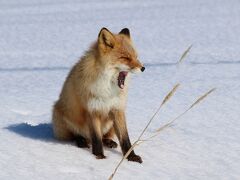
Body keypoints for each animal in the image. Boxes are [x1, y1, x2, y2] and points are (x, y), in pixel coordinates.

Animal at [52, 27, 145, 163]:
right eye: (125, 58)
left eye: (136, 57)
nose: (143, 68)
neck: (108, 90)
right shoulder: (92, 110)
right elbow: (96, 138)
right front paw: (99, 156)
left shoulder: (117, 109)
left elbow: (125, 139)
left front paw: (131, 157)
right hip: (60, 115)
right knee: (75, 136)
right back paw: (81, 141)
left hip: (110, 125)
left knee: (104, 136)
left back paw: (108, 142)